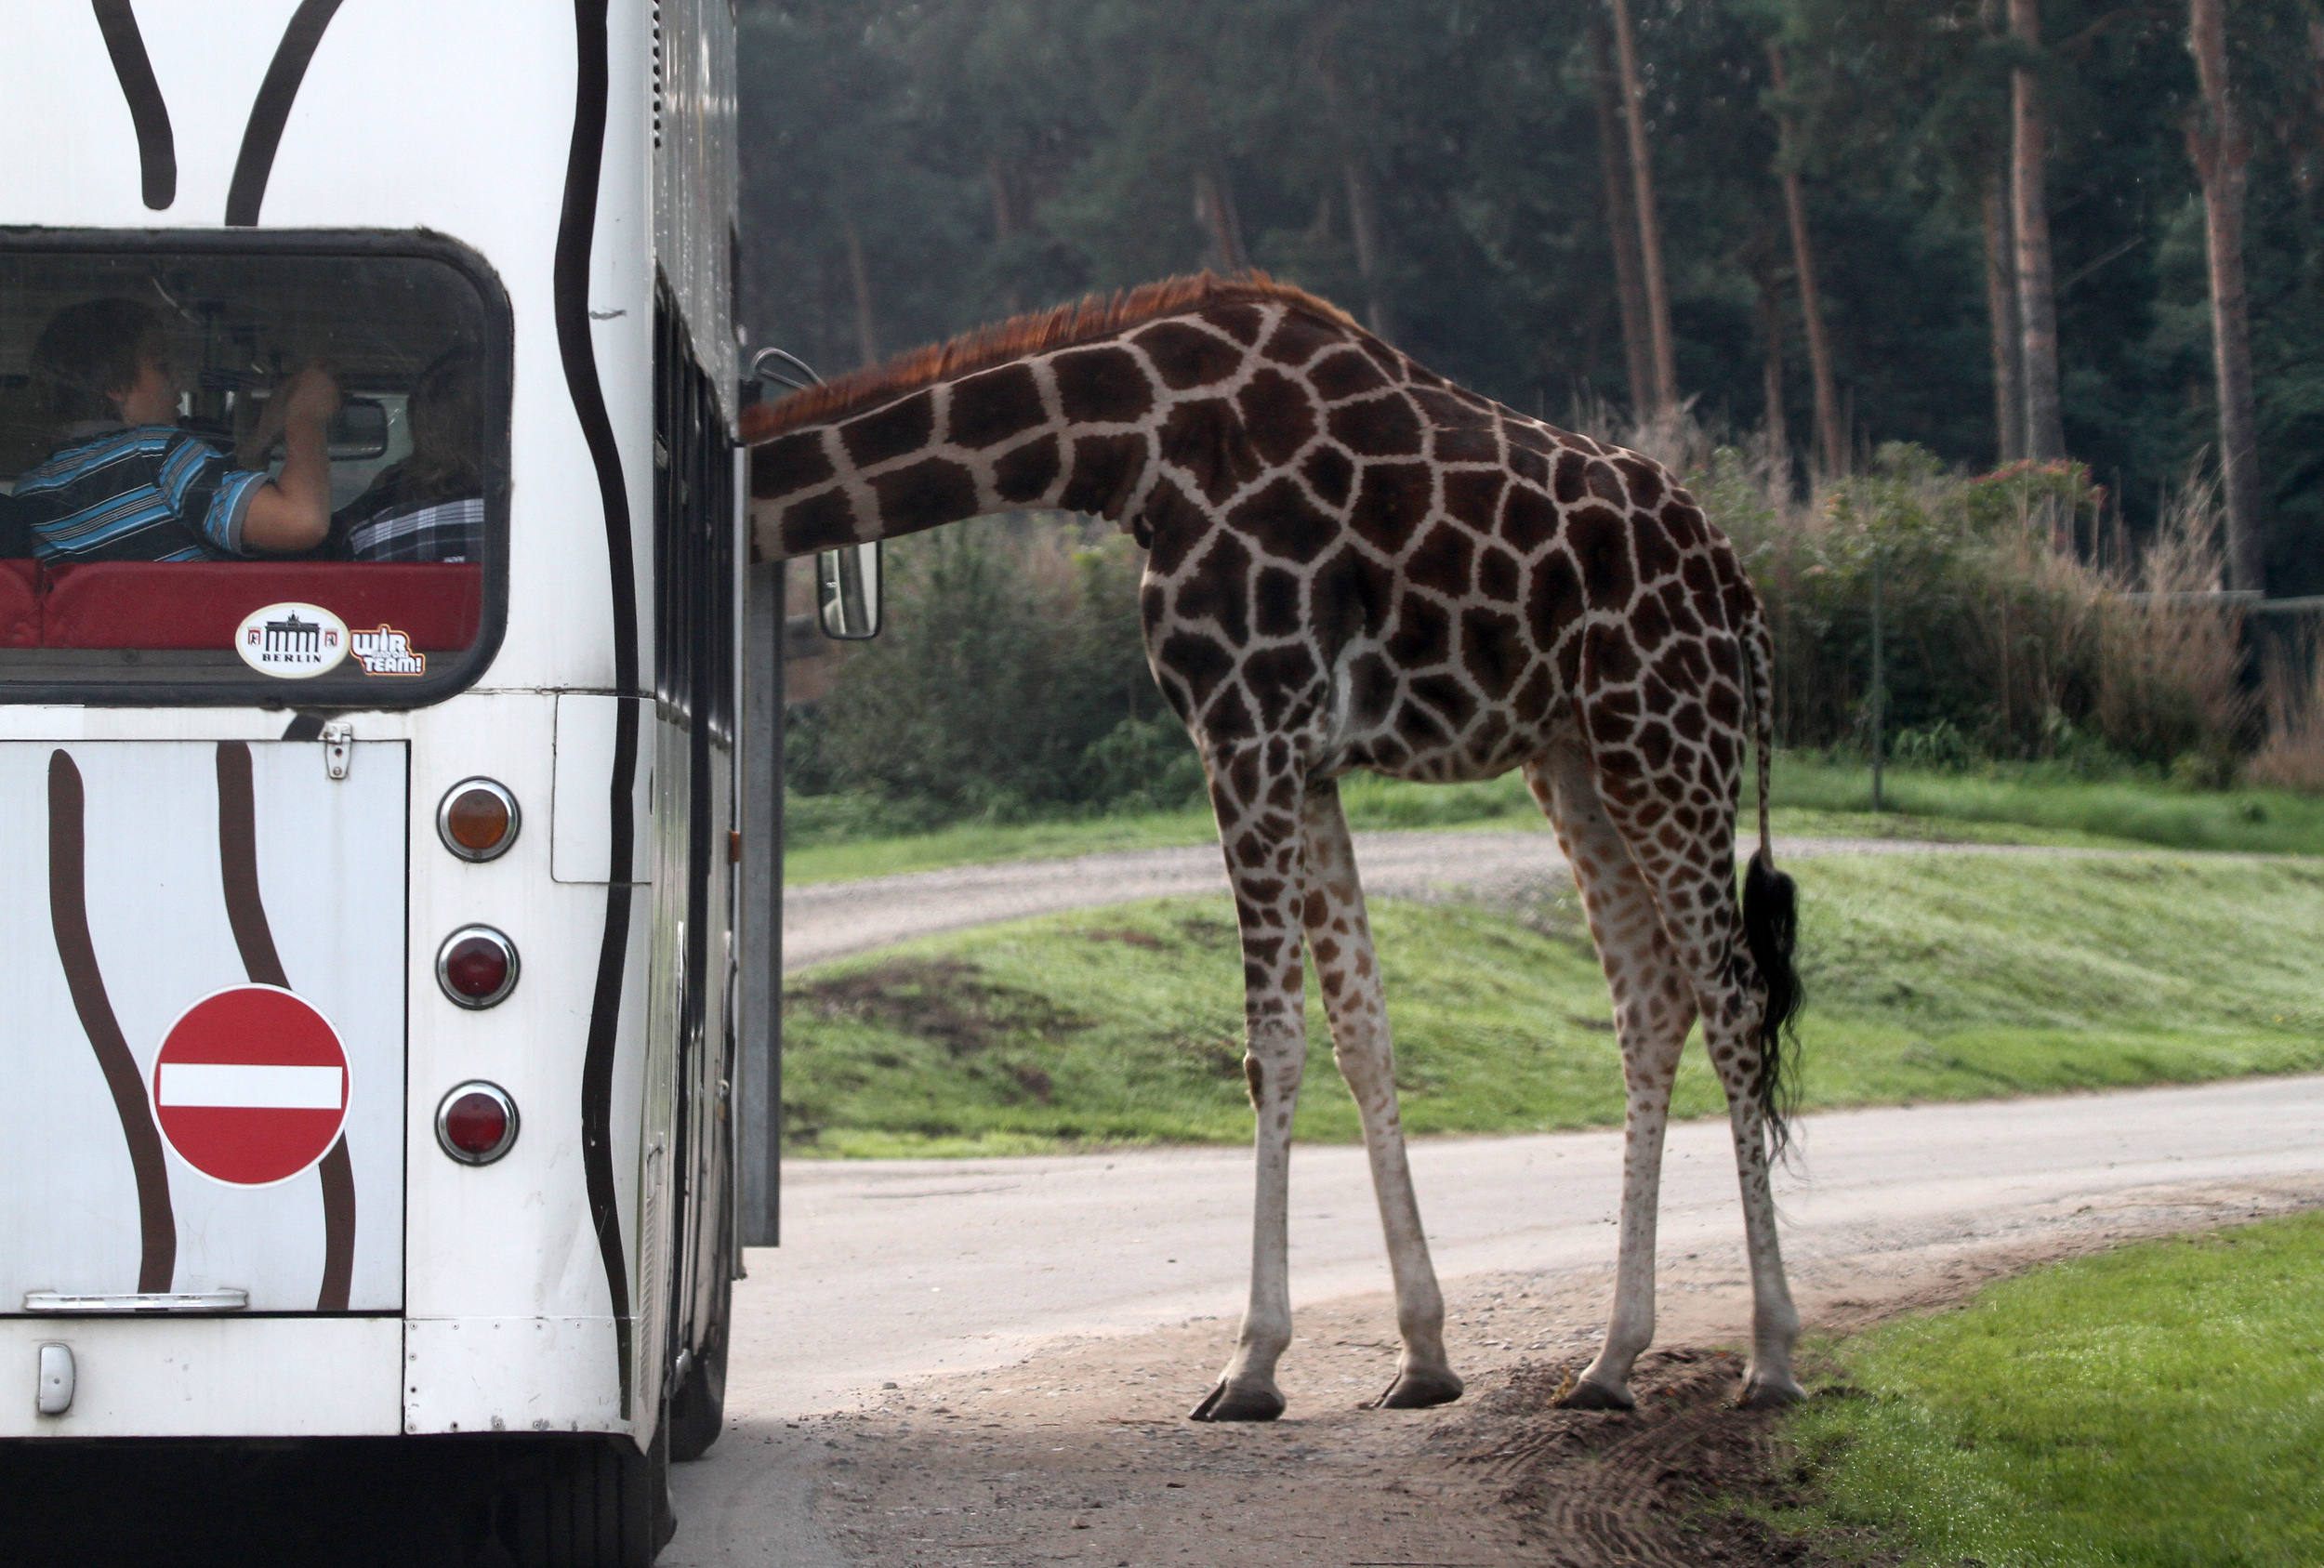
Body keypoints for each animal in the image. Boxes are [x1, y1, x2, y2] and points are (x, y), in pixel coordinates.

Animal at [744, 273, 1807, 1418]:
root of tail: (1742, 592)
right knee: (1652, 997)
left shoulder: (1244, 726)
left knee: (1734, 995)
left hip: (1666, 737)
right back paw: (1610, 1361)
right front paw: (1422, 1356)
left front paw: (1250, 1363)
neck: (1128, 442)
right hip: (1574, 755)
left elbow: (1272, 1042)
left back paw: (1771, 1356)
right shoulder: (1310, 757)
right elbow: (1362, 1030)